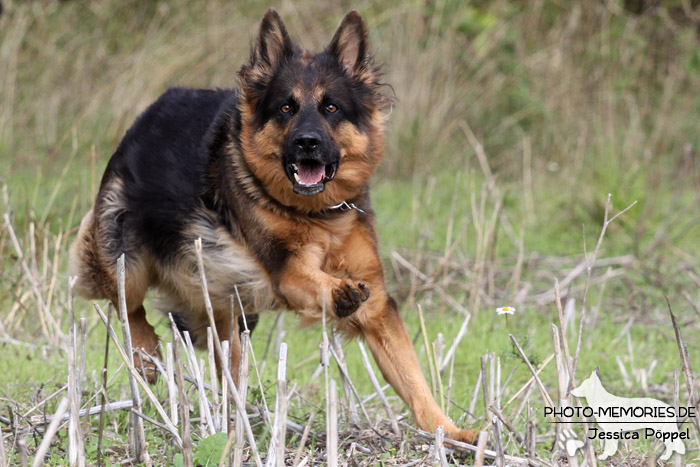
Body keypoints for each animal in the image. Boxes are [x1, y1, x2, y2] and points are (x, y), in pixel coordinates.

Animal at [68, 9, 478, 444]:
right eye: (285, 108)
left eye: (332, 108)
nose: (307, 142)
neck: (316, 214)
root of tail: (146, 117)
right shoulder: (287, 272)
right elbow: (317, 282)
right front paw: (337, 291)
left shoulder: (378, 304)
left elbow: (414, 379)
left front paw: (451, 432)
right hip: (124, 255)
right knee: (126, 304)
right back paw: (146, 355)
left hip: (223, 302)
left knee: (225, 357)